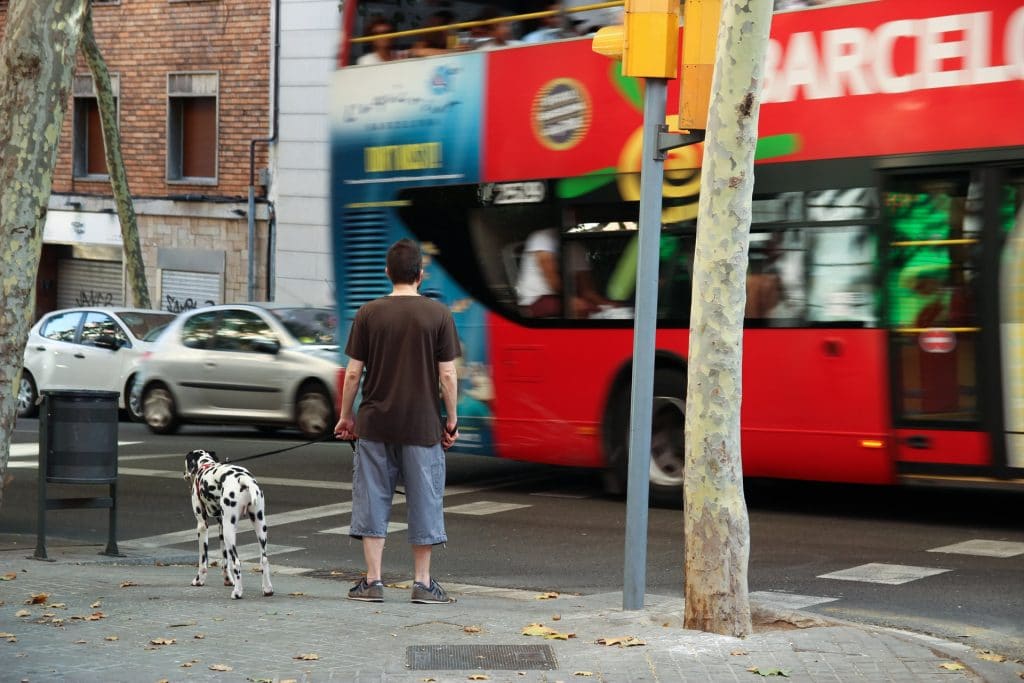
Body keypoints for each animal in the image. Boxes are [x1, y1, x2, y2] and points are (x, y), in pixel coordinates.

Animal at [184, 450, 272, 602]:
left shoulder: (202, 526)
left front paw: (199, 580)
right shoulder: (221, 526)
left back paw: (237, 592)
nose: (184, 474)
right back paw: (267, 589)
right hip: (259, 526)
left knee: (237, 562)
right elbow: (225, 560)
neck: (205, 466)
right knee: (264, 560)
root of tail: (243, 479)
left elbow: (203, 560)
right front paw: (227, 580)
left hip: (230, 532)